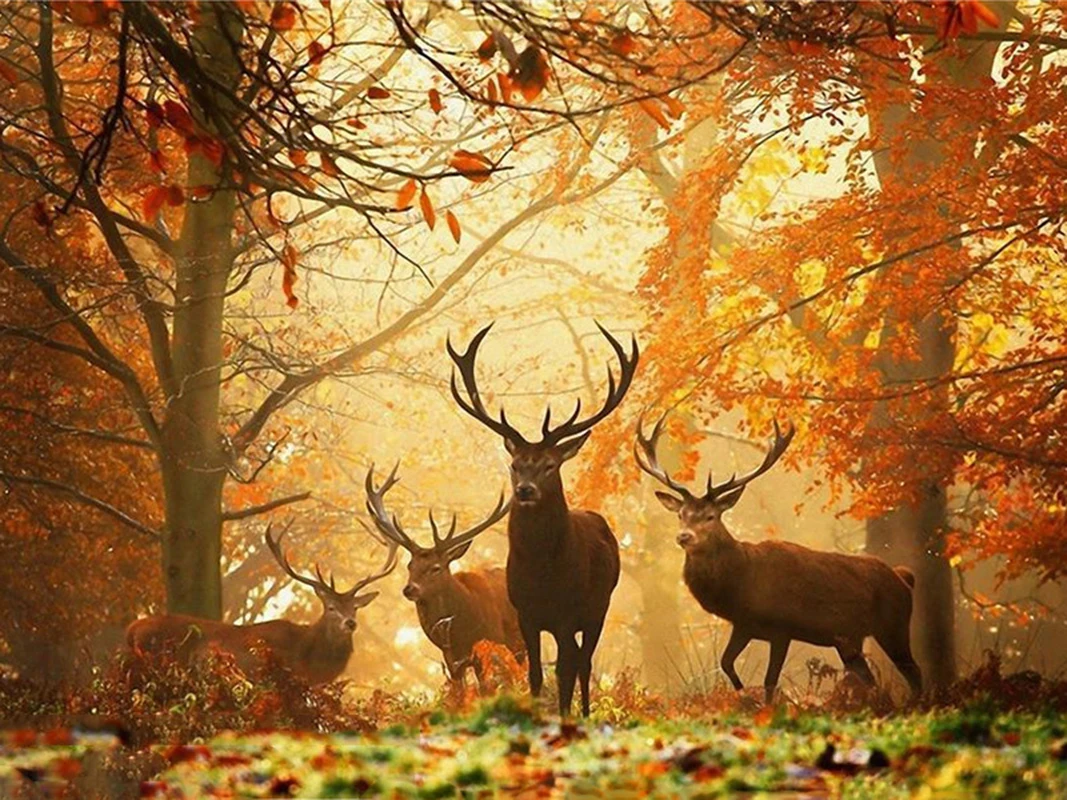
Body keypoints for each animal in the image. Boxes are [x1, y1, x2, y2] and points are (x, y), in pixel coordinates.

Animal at [447, 322, 638, 717]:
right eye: (515, 464)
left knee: (583, 662)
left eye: (550, 465)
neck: (542, 574)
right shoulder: (526, 614)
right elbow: (535, 673)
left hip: (599, 607)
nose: (525, 490)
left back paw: (584, 713)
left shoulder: (567, 614)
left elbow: (564, 671)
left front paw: (565, 717)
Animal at [634, 412, 923, 704]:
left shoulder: (782, 628)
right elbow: (726, 663)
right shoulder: (744, 624)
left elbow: (770, 681)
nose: (684, 536)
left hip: (894, 625)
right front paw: (743, 696)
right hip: (849, 640)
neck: (742, 584)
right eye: (680, 514)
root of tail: (904, 578)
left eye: (710, 516)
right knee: (870, 678)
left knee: (915, 672)